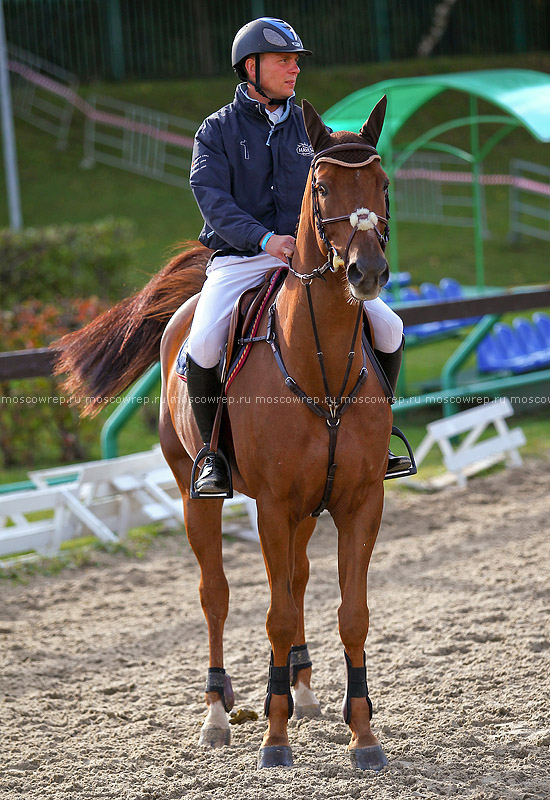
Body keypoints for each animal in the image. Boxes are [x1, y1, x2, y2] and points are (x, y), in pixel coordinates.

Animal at [57, 97, 396, 772]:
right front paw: (274, 740)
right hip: (196, 495)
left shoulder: (357, 501)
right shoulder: (272, 505)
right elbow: (275, 616)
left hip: (306, 510)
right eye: (322, 187)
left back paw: (302, 690)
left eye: (383, 184)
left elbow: (351, 613)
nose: (367, 273)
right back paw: (217, 714)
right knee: (215, 593)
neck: (320, 365)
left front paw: (362, 736)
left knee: (297, 579)